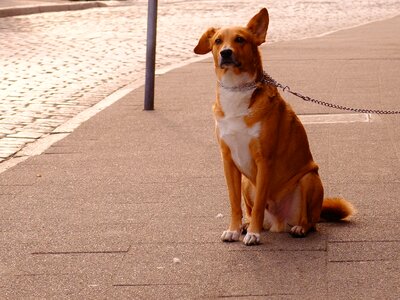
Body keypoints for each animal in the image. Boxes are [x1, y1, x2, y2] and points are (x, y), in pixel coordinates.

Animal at [194, 8, 354, 245]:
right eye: (217, 41)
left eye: (240, 39)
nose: (226, 53)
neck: (236, 89)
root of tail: (278, 222)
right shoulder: (228, 161)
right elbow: (234, 203)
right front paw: (234, 229)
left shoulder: (264, 160)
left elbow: (260, 204)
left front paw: (253, 233)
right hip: (247, 183)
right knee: (250, 209)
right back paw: (244, 226)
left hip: (309, 180)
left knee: (310, 220)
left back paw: (297, 228)